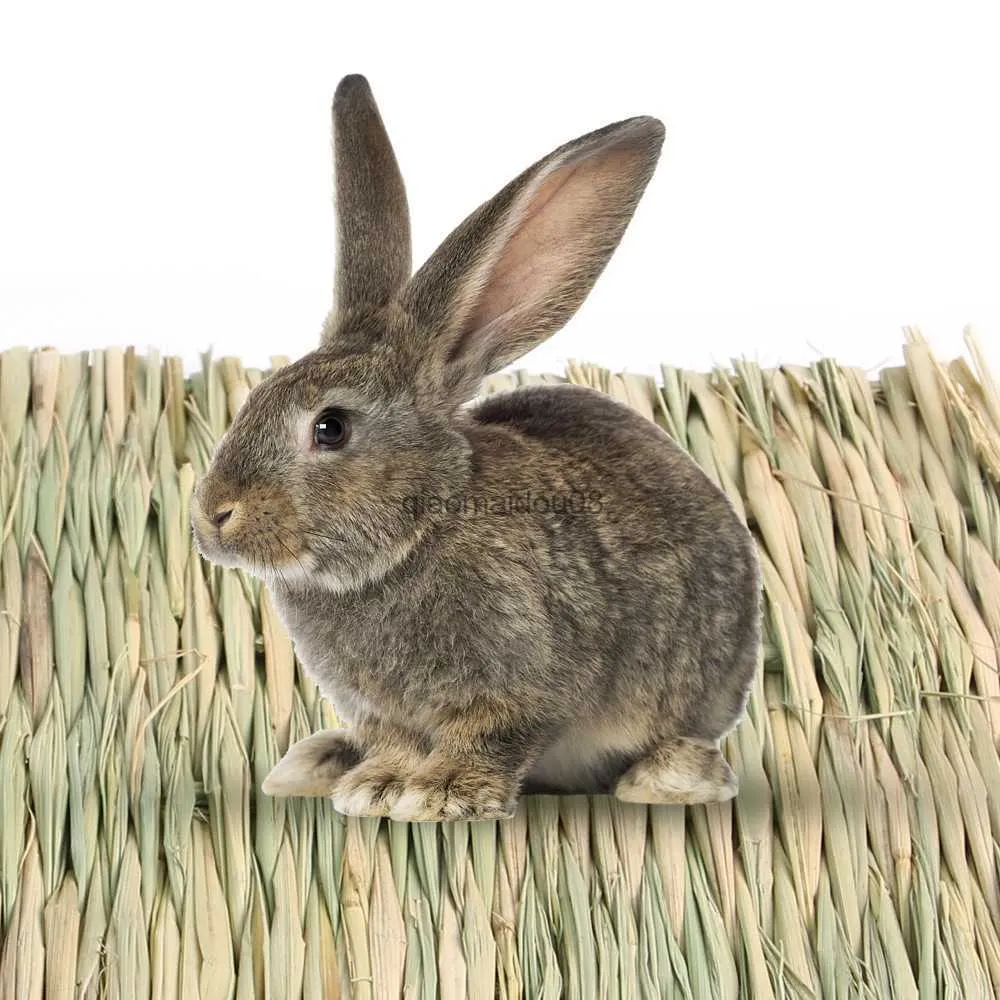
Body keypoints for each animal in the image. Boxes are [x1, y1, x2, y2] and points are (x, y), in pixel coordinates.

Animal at [191, 72, 760, 820]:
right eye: (254, 397)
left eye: (330, 428)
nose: (212, 517)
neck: (418, 533)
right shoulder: (381, 711)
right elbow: (395, 742)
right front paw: (376, 785)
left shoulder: (520, 682)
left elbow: (489, 737)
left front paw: (440, 794)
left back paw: (667, 779)